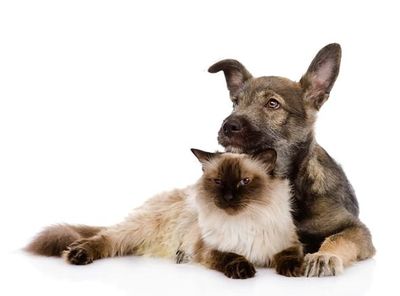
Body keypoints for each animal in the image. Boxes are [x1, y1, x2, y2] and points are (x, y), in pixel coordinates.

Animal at [26, 149, 304, 278]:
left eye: (244, 182)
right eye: (217, 182)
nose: (227, 198)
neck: (244, 222)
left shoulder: (287, 243)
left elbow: (290, 256)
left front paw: (293, 271)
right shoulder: (208, 248)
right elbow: (231, 256)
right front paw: (244, 270)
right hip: (140, 228)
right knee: (104, 239)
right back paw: (77, 254)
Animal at [208, 42, 376, 276]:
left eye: (272, 104)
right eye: (235, 103)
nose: (227, 126)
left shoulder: (357, 228)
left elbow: (338, 239)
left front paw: (324, 256)